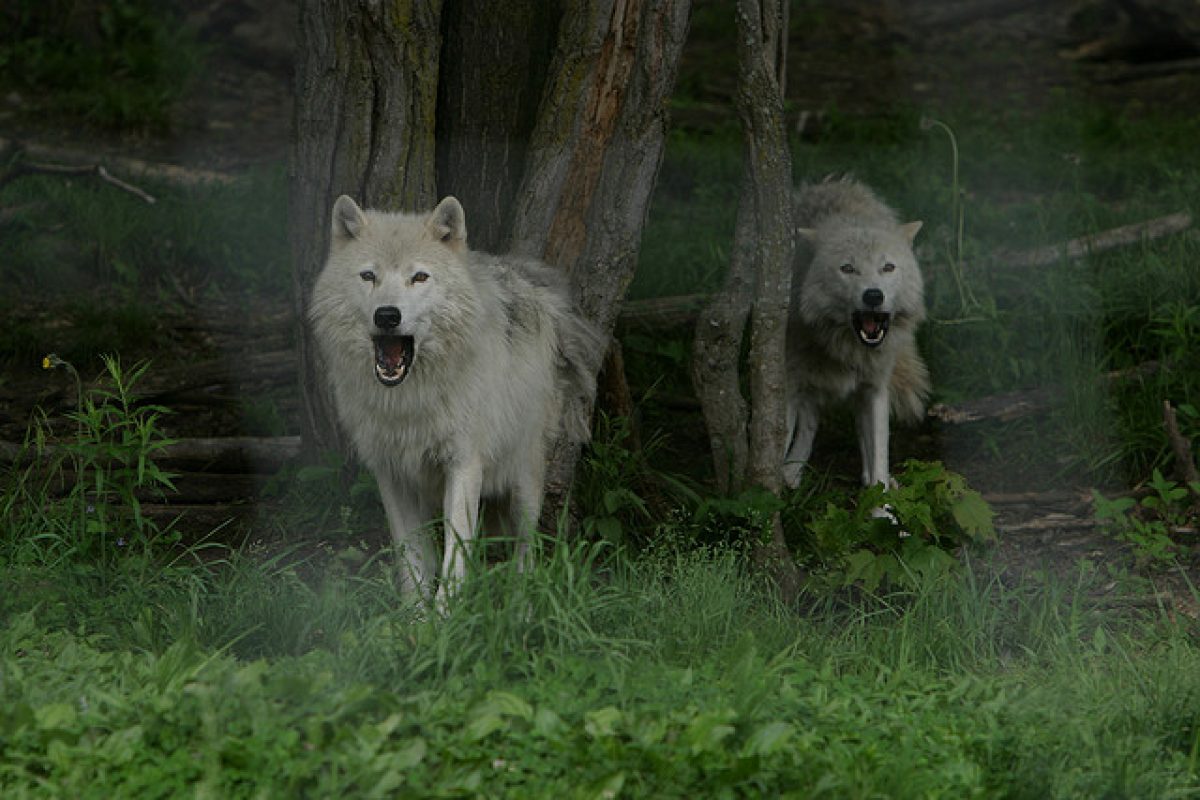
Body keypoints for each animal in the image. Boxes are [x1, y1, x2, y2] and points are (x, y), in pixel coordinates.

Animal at [309, 196, 604, 604]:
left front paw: (446, 614)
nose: (387, 315)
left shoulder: (463, 465)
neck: (410, 400)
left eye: (419, 277)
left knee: (526, 550)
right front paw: (416, 616)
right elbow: (413, 559)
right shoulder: (391, 473)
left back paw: (520, 603)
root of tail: (526, 276)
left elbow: (454, 556)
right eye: (368, 276)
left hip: (524, 477)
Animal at [782, 178, 931, 491]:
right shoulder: (789, 385)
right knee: (810, 419)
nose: (873, 295)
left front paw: (881, 498)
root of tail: (832, 185)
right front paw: (769, 489)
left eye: (888, 267)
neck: (846, 349)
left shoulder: (875, 389)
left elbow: (879, 454)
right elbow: (778, 439)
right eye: (847, 268)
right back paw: (792, 471)